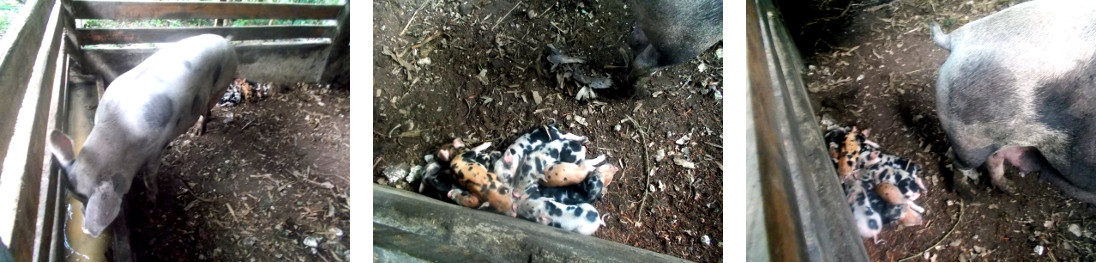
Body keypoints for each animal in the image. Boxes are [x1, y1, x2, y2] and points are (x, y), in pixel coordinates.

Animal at [46, 33, 237, 237]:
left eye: (86, 199)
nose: (85, 229)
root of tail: (226, 41)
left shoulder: (156, 149)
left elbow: (149, 176)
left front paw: (151, 204)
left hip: (222, 83)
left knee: (208, 107)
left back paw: (198, 132)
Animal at [929, 0, 1096, 203]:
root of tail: (956, 39)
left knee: (993, 159)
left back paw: (1010, 189)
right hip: (970, 137)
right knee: (956, 159)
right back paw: (970, 195)